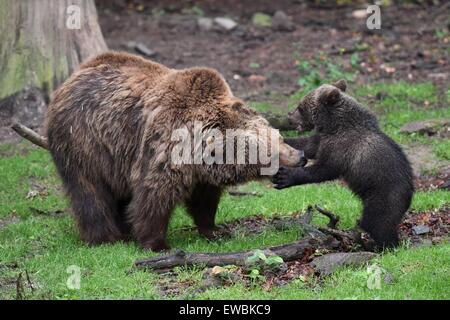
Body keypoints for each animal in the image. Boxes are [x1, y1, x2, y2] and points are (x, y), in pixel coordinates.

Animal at [44, 51, 302, 251]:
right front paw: (157, 243)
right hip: (85, 141)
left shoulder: (202, 174)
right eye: (271, 151)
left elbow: (204, 202)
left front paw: (215, 230)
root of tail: (70, 79)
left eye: (280, 137)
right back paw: (105, 237)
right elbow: (154, 195)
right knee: (90, 191)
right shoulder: (165, 149)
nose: (300, 156)